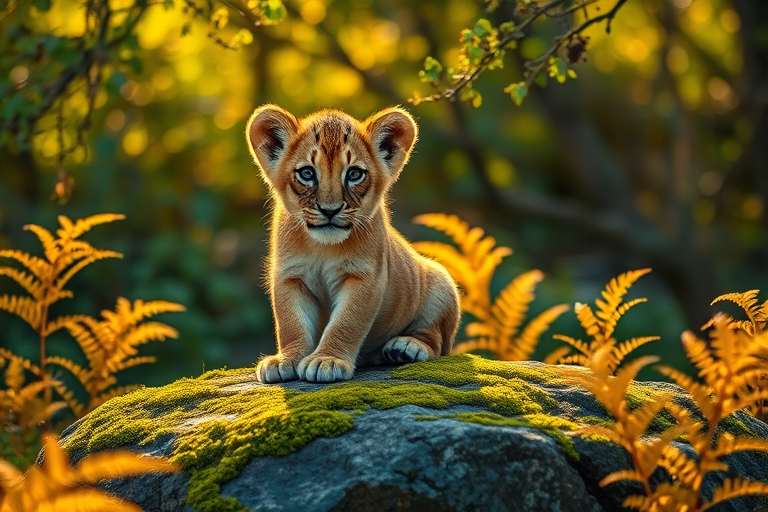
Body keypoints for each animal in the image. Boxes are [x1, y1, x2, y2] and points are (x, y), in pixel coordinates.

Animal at [246, 105, 460, 383]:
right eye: (307, 173)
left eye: (354, 174)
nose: (330, 210)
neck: (323, 248)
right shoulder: (289, 276)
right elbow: (291, 322)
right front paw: (285, 360)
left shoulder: (365, 277)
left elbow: (346, 322)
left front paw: (327, 360)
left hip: (441, 281)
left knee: (436, 340)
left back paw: (406, 348)